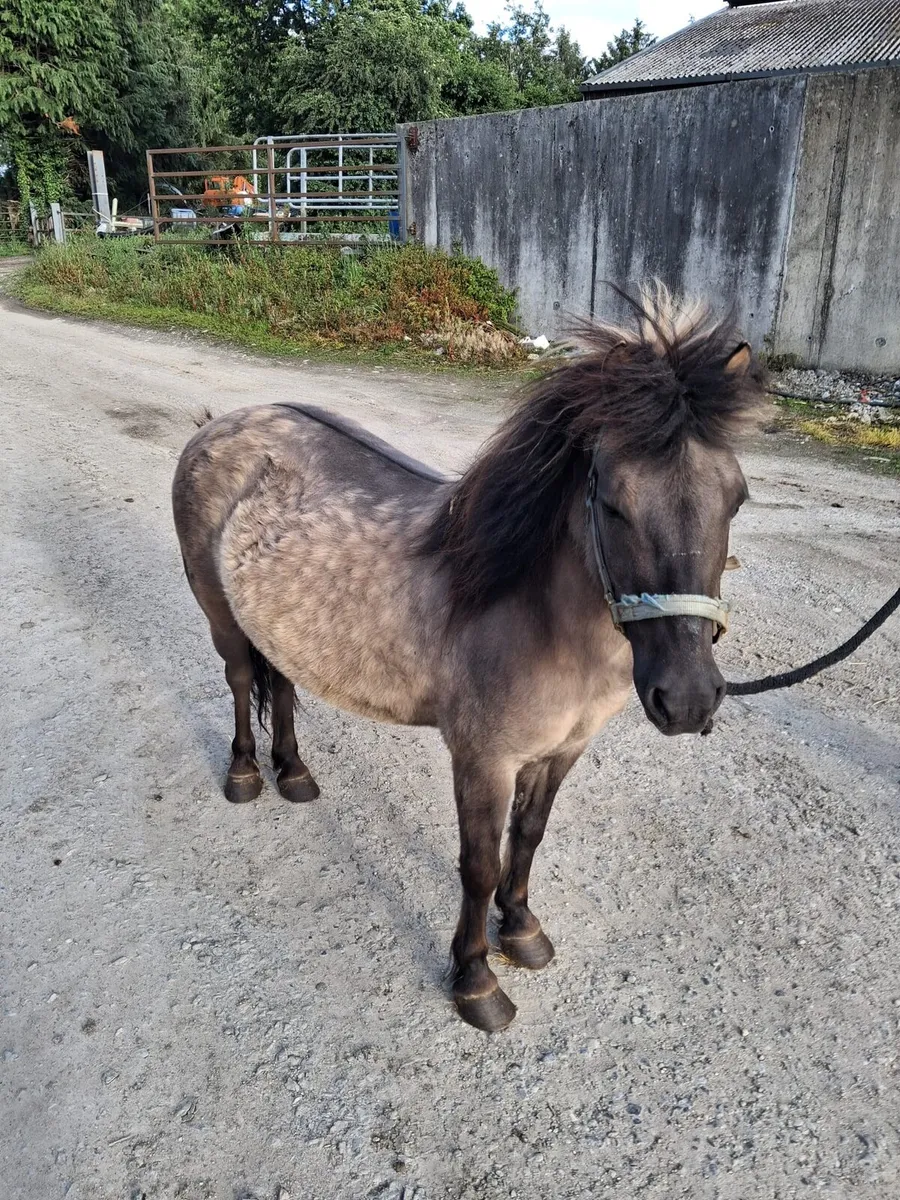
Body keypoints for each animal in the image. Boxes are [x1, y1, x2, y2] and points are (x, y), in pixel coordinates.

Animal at [172, 286, 767, 1032]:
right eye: (612, 501)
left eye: (736, 499)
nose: (687, 699)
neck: (533, 614)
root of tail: (219, 425)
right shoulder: (484, 760)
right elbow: (479, 864)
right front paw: (476, 979)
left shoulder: (561, 751)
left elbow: (530, 836)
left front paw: (521, 930)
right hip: (220, 616)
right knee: (240, 678)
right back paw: (248, 774)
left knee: (280, 684)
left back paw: (296, 773)